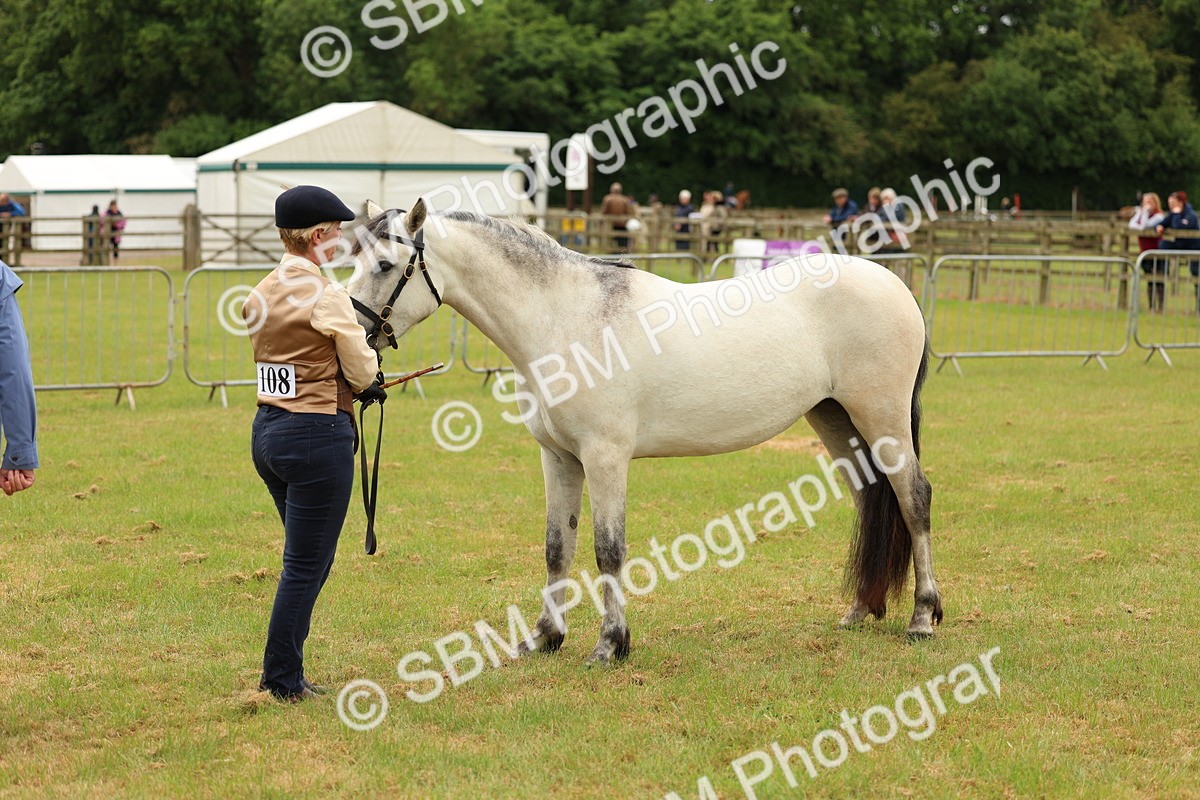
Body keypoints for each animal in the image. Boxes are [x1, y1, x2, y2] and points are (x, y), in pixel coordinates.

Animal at [347, 199, 941, 666]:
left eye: (384, 264)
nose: (353, 333)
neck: (567, 318)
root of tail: (895, 285)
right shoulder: (558, 458)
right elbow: (557, 546)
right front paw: (543, 639)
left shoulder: (605, 458)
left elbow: (608, 549)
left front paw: (611, 644)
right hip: (836, 419)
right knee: (871, 500)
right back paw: (860, 610)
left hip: (882, 419)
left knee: (913, 498)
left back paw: (923, 617)